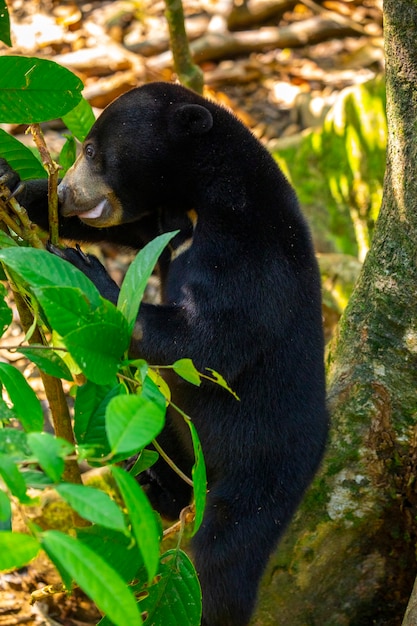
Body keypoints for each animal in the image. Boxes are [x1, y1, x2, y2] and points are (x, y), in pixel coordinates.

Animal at [0, 81, 328, 624]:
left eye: (93, 151)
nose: (65, 194)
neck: (203, 197)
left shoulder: (254, 254)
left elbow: (204, 340)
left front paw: (82, 270)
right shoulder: (162, 217)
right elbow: (127, 230)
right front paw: (11, 183)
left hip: (265, 469)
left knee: (226, 559)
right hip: (171, 428)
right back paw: (157, 484)